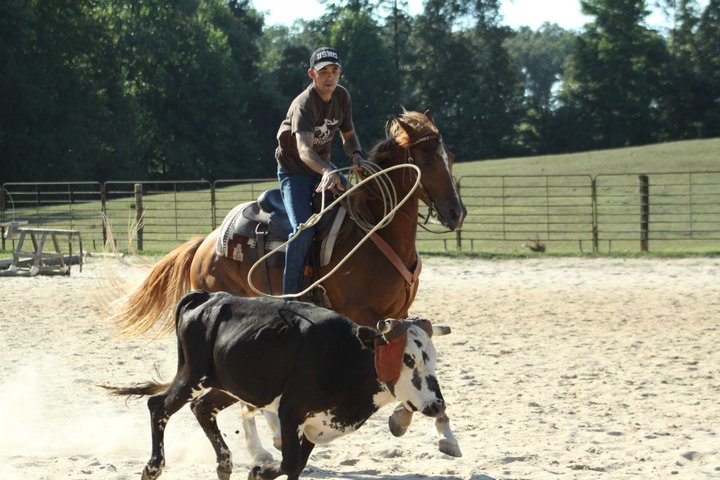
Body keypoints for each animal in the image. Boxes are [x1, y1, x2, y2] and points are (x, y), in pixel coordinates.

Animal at [108, 288, 450, 480]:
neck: (346, 356)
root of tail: (207, 298)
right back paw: (153, 467)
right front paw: (258, 471)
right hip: (192, 374)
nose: (436, 405)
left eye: (433, 358)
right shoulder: (291, 412)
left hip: (228, 385)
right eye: (408, 359)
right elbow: (288, 463)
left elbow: (297, 467)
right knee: (159, 407)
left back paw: (225, 464)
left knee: (202, 409)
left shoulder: (314, 425)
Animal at [109, 110, 464, 460]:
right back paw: (263, 446)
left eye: (450, 156)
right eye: (426, 159)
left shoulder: (400, 311)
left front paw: (438, 431)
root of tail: (206, 242)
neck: (378, 233)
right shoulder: (363, 313)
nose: (456, 213)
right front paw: (410, 419)